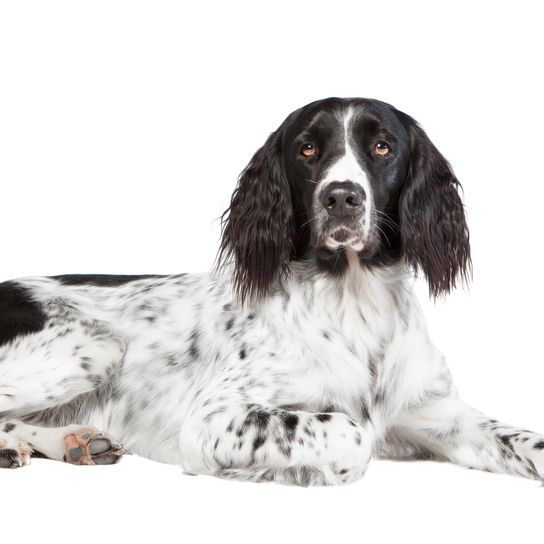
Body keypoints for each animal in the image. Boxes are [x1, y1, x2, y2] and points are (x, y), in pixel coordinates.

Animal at [1, 98, 544, 484]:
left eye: (383, 147)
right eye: (307, 149)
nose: (341, 197)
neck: (353, 301)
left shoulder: (440, 412)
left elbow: (525, 439)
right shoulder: (213, 421)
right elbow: (351, 432)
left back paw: (75, 442)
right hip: (94, 344)